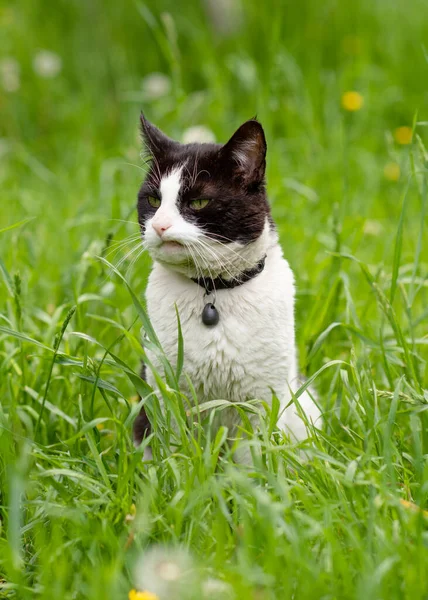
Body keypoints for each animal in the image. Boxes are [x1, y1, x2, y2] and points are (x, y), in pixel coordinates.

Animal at [134, 113, 320, 454]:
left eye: (198, 202)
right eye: (153, 199)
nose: (159, 225)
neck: (213, 290)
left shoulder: (262, 399)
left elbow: (253, 456)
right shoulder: (166, 391)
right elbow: (176, 451)